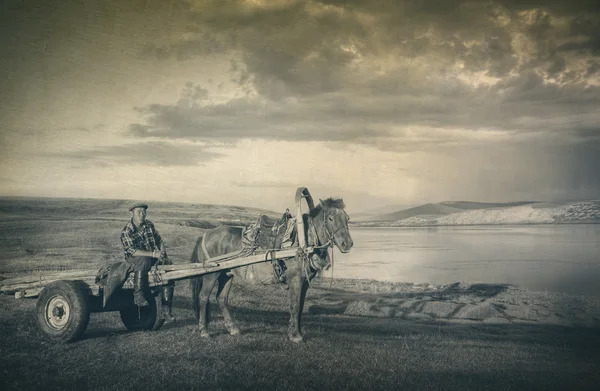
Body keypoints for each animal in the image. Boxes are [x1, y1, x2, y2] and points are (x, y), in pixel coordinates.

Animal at [191, 199, 352, 344]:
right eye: (331, 218)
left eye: (347, 218)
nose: (347, 244)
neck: (301, 243)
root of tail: (205, 235)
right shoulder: (295, 280)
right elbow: (294, 306)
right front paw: (295, 336)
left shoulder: (305, 282)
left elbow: (300, 307)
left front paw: (295, 332)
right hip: (211, 275)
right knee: (203, 297)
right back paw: (204, 331)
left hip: (226, 274)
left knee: (222, 299)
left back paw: (233, 329)